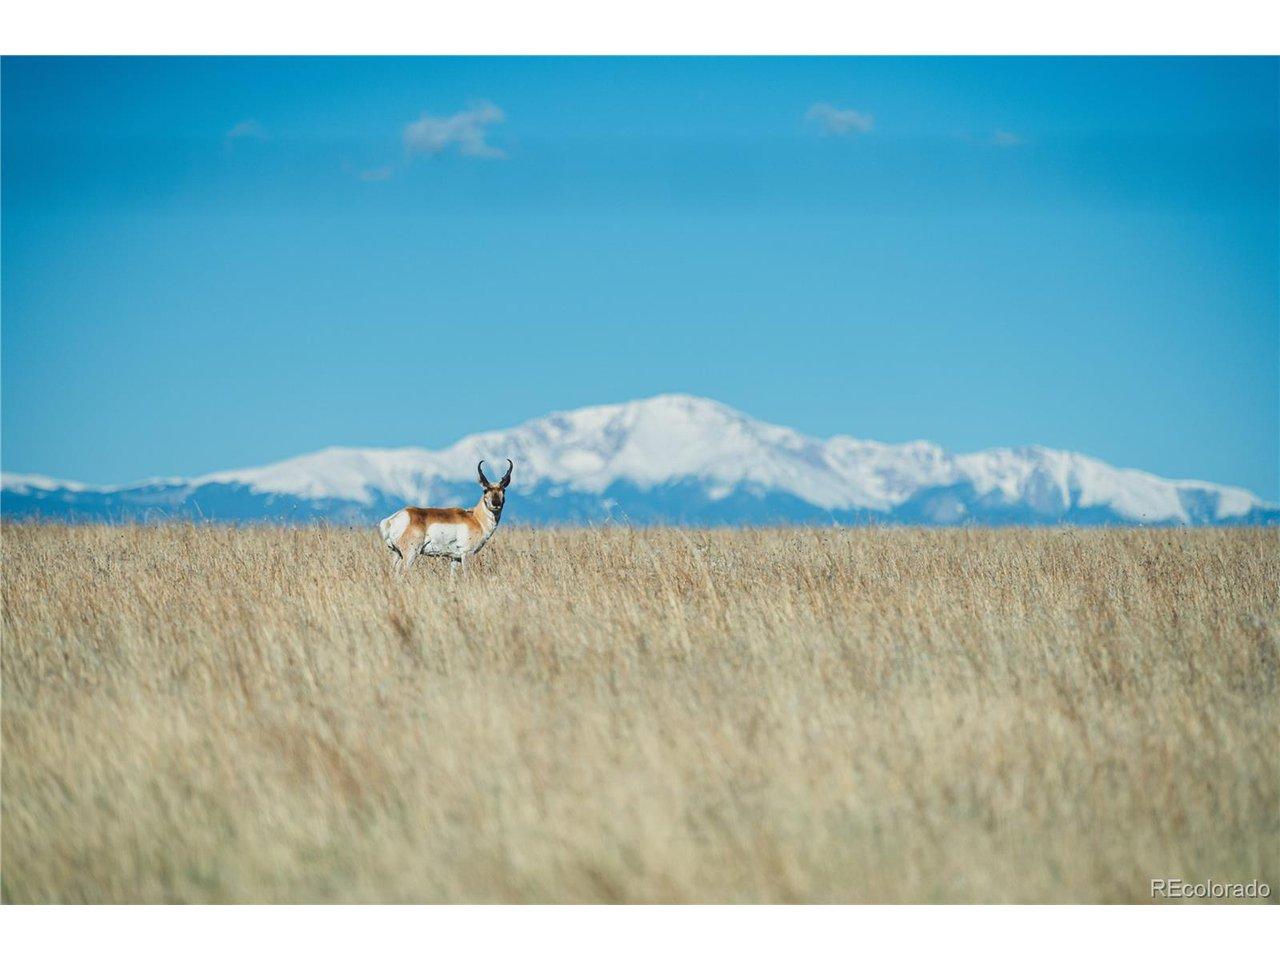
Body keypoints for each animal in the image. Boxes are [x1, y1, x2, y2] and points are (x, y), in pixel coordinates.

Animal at [378, 459, 513, 576]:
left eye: (503, 490)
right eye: (485, 490)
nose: (496, 503)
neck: (475, 518)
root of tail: (392, 519)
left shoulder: (455, 558)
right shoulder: (466, 554)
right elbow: (466, 575)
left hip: (397, 554)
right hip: (410, 554)